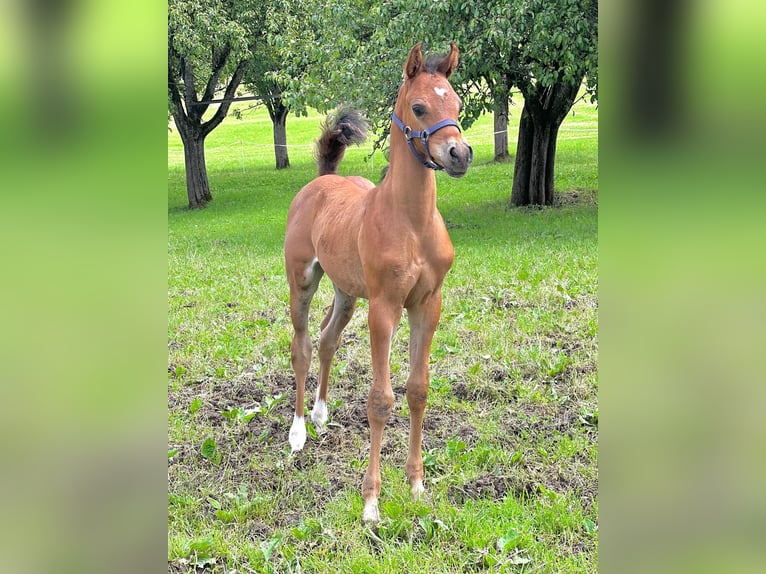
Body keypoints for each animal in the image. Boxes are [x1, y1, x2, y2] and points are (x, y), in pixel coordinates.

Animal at [284, 42, 472, 524]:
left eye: (457, 104)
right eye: (419, 107)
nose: (460, 154)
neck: (412, 221)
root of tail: (321, 182)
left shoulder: (428, 303)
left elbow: (418, 390)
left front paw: (417, 485)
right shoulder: (384, 307)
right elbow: (381, 399)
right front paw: (371, 502)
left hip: (347, 292)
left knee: (328, 339)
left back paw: (321, 414)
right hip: (303, 280)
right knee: (302, 345)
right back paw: (298, 432)